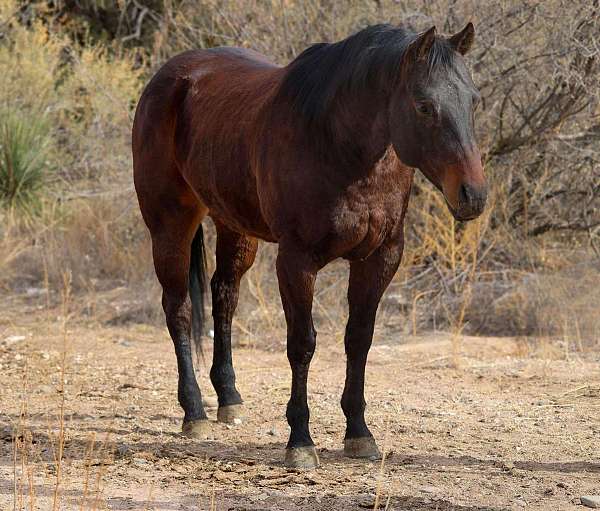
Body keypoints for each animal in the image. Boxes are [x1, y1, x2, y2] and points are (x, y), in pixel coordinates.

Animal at [132, 20, 488, 470]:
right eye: (424, 105)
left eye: (473, 100)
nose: (473, 195)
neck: (338, 142)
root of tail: (170, 76)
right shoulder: (297, 262)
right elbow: (302, 344)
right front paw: (300, 441)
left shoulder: (379, 258)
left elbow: (359, 339)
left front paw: (359, 434)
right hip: (170, 224)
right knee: (178, 310)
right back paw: (194, 411)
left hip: (234, 226)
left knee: (224, 297)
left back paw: (229, 398)